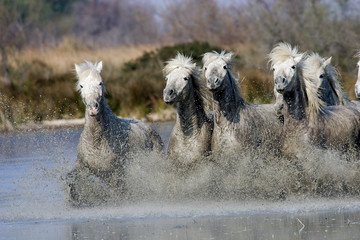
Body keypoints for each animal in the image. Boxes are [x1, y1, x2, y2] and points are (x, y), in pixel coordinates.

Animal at [67, 60, 164, 206]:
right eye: (81, 85)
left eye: (100, 83)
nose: (93, 108)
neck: (97, 141)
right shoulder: (82, 166)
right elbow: (71, 180)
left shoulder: (116, 174)